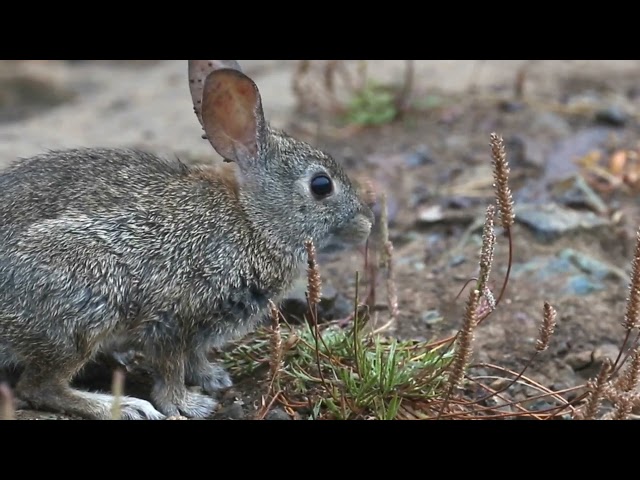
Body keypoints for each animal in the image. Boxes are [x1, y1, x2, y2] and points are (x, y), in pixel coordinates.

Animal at [0, 60, 374, 420]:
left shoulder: (197, 331)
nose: (366, 225)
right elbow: (171, 370)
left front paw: (213, 377)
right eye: (321, 185)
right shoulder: (172, 318)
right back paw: (122, 407)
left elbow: (194, 358)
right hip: (84, 304)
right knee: (39, 387)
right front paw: (188, 404)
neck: (252, 220)